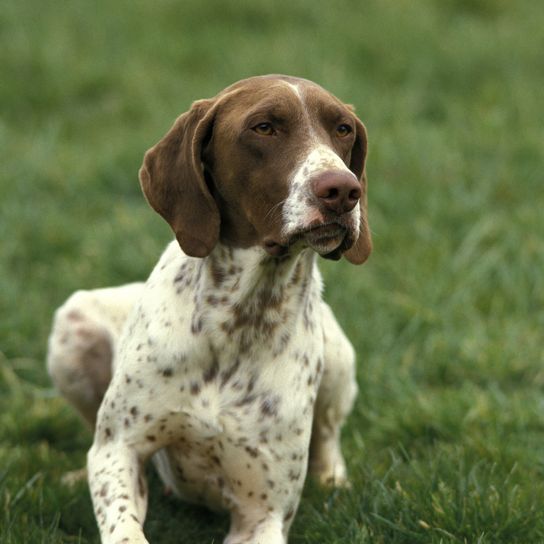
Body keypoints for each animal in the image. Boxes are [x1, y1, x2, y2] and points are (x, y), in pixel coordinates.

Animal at [46, 75, 372, 544]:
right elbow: (123, 522)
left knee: (328, 435)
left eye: (343, 129)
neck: (239, 318)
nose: (344, 190)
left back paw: (333, 482)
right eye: (264, 127)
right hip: (75, 324)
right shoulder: (119, 449)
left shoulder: (262, 513)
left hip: (339, 358)